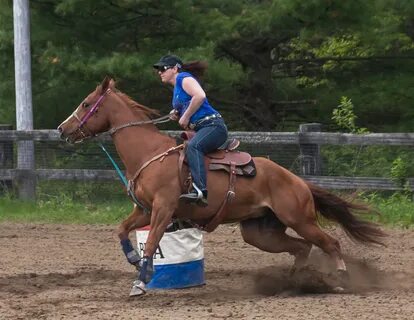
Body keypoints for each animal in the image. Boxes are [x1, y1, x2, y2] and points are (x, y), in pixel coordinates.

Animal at [57, 76, 384, 296]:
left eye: (86, 104)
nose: (62, 129)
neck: (149, 153)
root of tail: (297, 180)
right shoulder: (145, 210)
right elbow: (122, 230)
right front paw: (134, 259)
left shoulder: (163, 209)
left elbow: (151, 242)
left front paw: (141, 280)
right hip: (260, 232)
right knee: (302, 248)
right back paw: (293, 283)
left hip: (299, 219)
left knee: (330, 243)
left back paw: (341, 281)